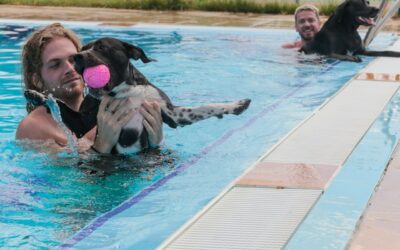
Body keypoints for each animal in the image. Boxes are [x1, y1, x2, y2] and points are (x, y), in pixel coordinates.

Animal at [72, 37, 250, 154]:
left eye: (102, 47)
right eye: (82, 49)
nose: (76, 56)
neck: (126, 91)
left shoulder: (173, 114)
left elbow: (206, 107)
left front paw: (236, 105)